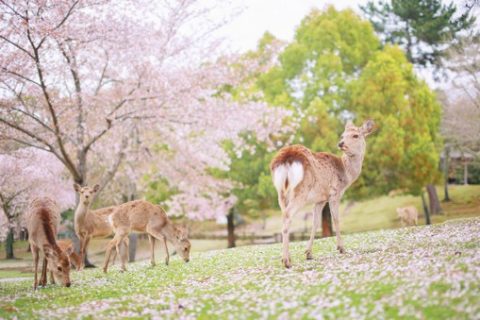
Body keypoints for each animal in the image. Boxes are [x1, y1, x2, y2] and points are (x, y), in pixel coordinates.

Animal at [270, 119, 376, 268]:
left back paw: (287, 258)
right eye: (343, 135)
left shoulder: (320, 199)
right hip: (301, 190)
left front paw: (308, 253)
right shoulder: (334, 193)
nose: (341, 143)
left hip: (280, 191)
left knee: (284, 214)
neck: (346, 175)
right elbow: (336, 219)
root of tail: (286, 158)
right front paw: (341, 248)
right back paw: (286, 261)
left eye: (355, 135)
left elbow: (315, 223)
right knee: (287, 214)